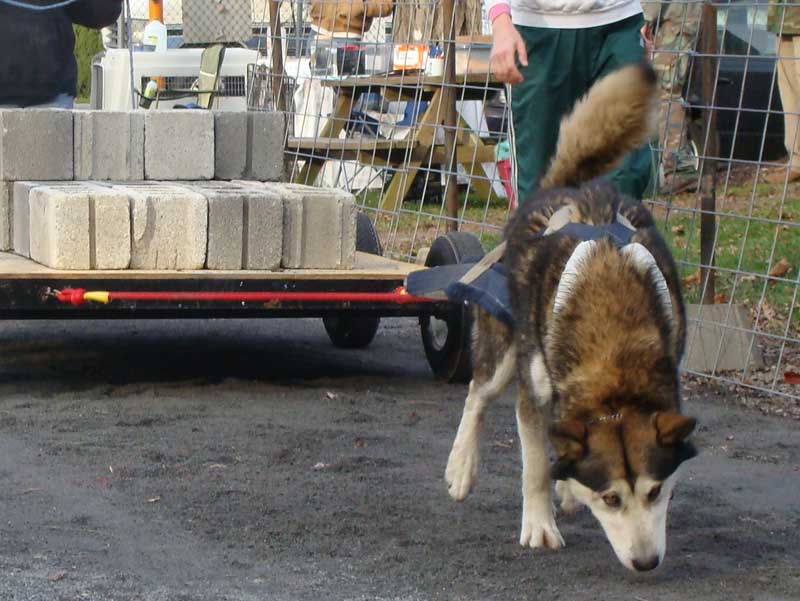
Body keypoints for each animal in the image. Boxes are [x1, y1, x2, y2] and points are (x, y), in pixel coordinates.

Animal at [446, 64, 696, 572]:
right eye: (610, 499)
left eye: (657, 492)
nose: (647, 563)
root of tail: (563, 187)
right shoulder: (532, 394)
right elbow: (536, 466)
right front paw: (540, 525)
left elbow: (559, 453)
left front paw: (565, 489)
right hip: (506, 350)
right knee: (477, 394)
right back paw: (461, 467)